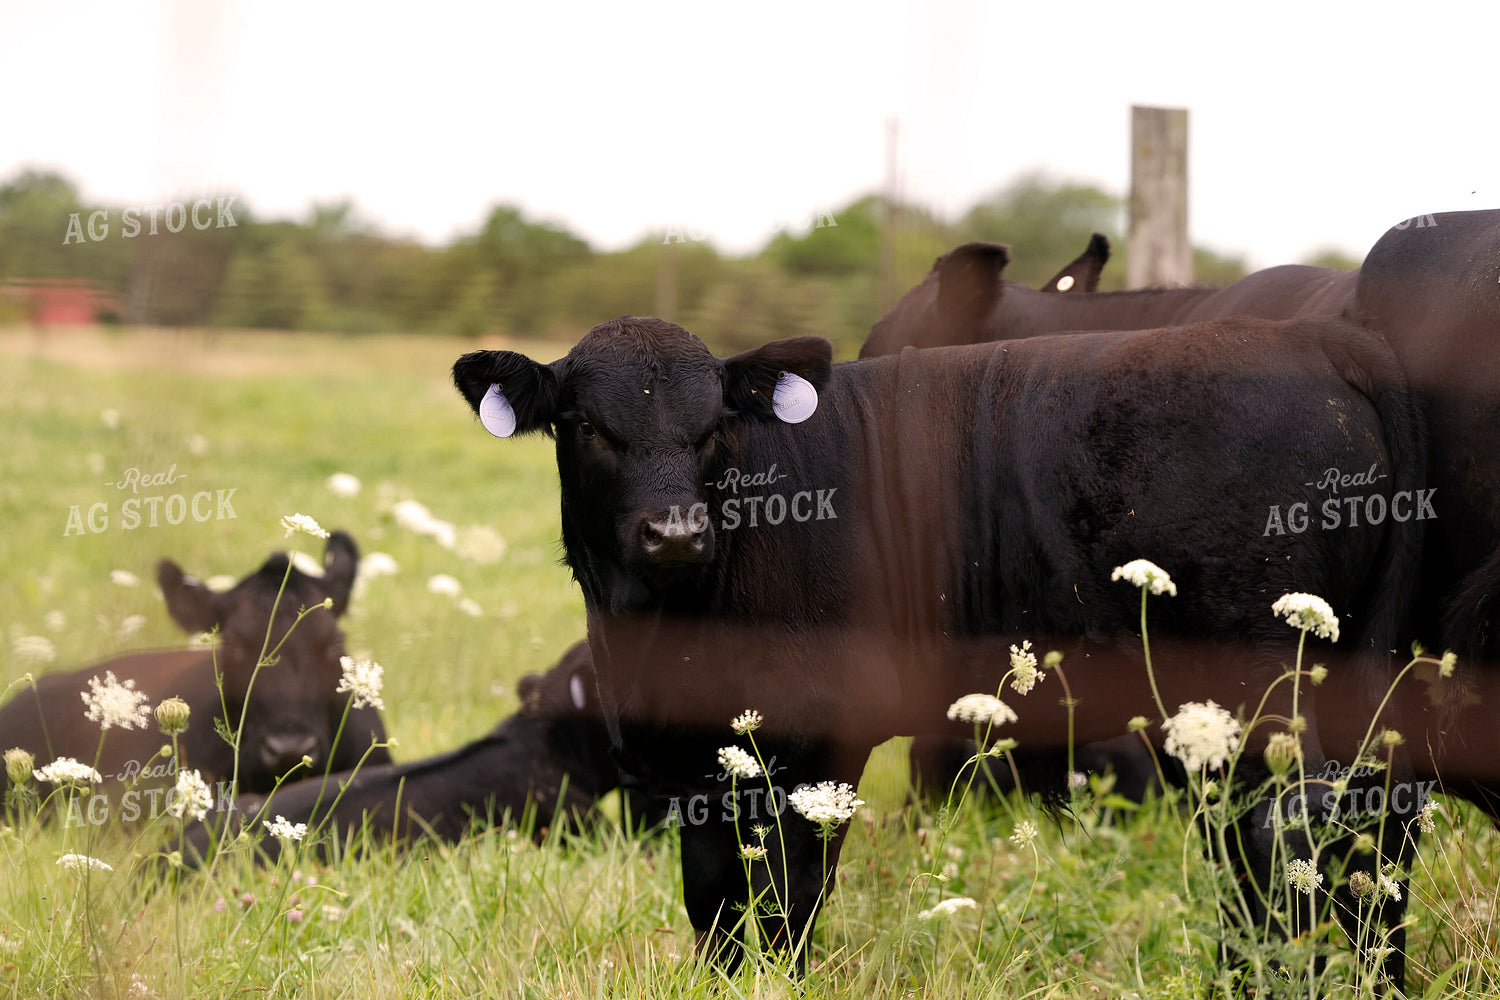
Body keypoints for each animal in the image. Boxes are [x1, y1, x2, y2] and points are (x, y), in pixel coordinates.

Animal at [452, 314, 1425, 981]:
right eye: (586, 425)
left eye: (713, 429)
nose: (676, 532)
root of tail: (1314, 337)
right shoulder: (692, 764)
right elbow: (715, 904)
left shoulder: (818, 748)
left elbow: (789, 904)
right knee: (1372, 830)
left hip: (1257, 695)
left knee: (1282, 838)